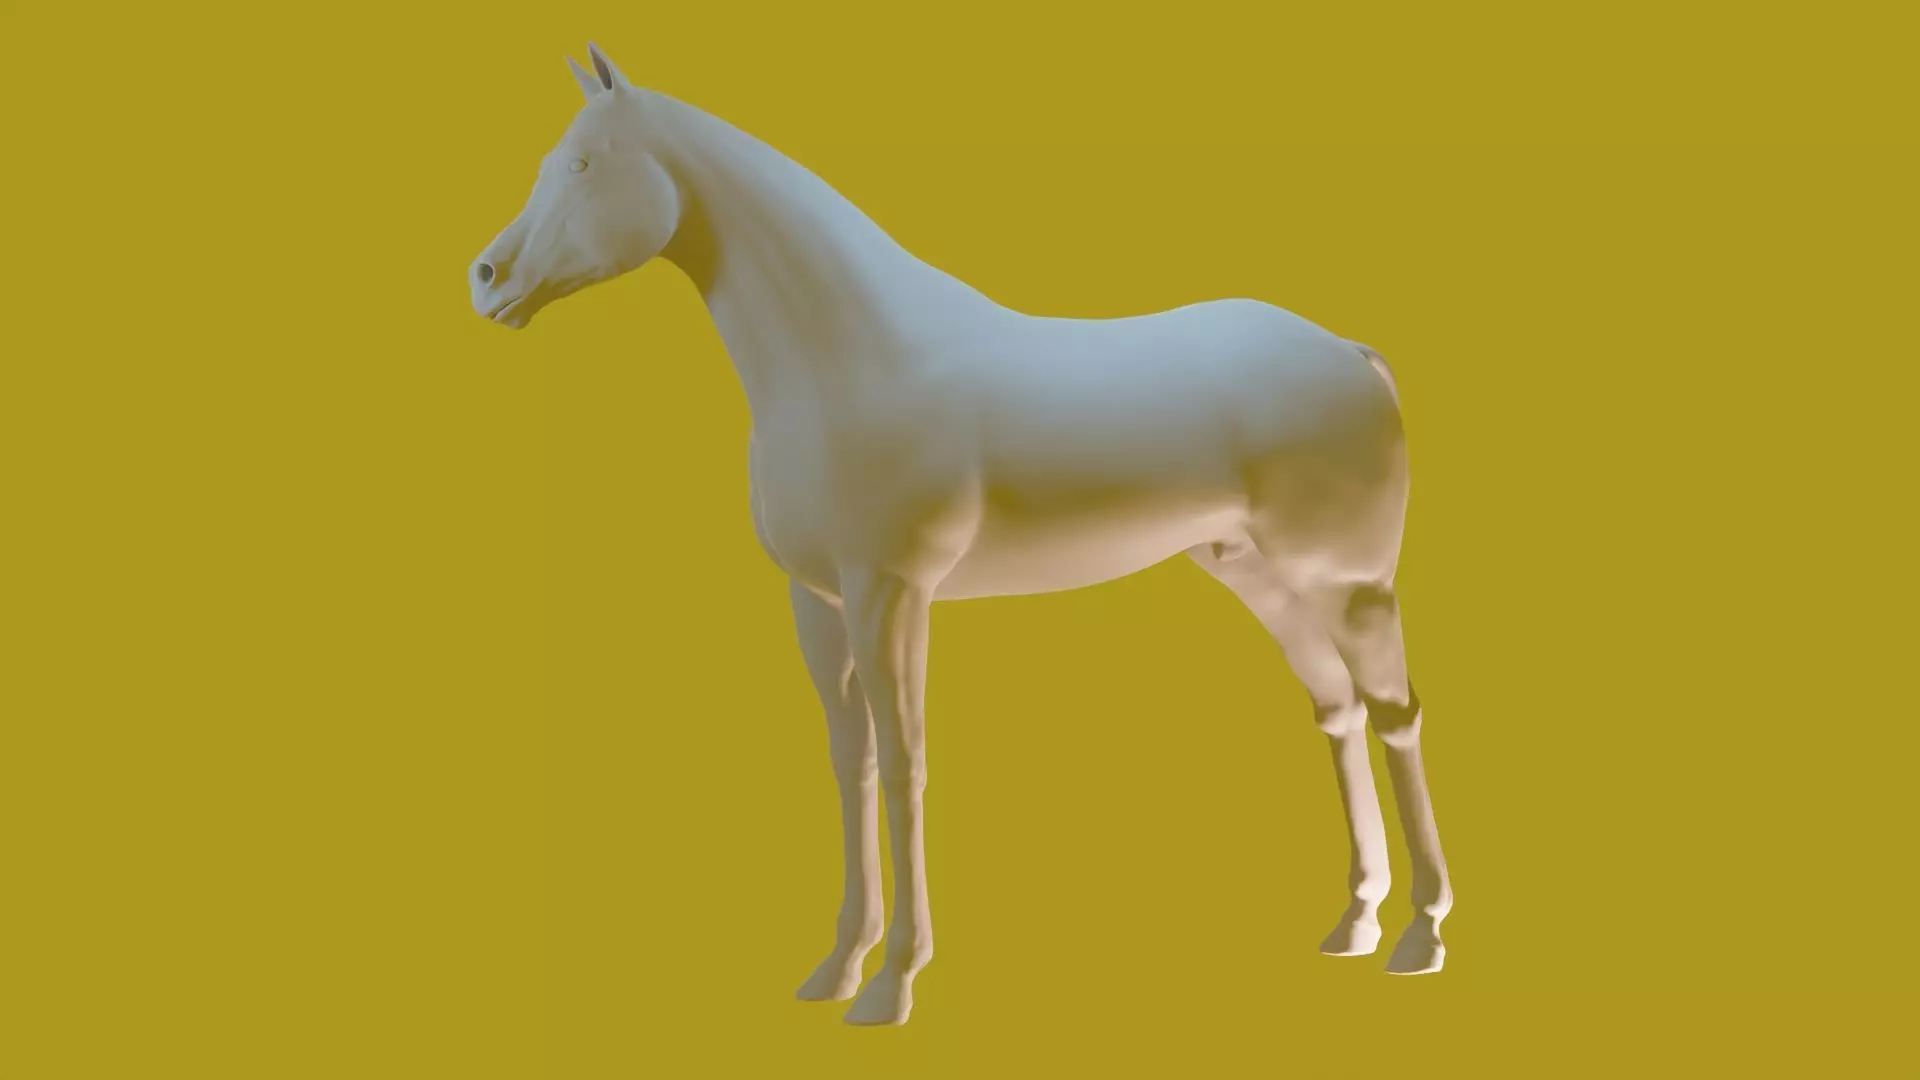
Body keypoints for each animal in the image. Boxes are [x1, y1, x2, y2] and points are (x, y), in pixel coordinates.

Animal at [470, 42, 1455, 1027]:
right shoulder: (819, 601)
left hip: (1349, 584)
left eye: (582, 164)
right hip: (1265, 582)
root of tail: (1350, 353)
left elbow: (906, 763)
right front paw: (838, 966)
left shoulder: (893, 591)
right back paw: (1355, 921)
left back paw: (1419, 934)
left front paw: (894, 981)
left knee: (1395, 715)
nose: (487, 278)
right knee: (1338, 711)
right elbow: (854, 762)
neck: (856, 357)